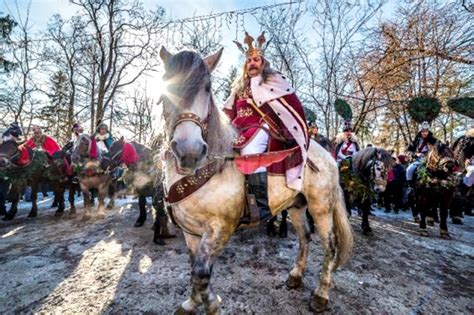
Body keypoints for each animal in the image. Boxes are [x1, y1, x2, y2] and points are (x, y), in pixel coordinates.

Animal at [158, 47, 352, 315]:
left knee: (330, 246)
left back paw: (321, 295)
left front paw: (212, 304)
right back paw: (295, 275)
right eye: (168, 84)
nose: (190, 151)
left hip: (321, 208)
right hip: (296, 206)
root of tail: (327, 155)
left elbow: (201, 274)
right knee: (304, 237)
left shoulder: (220, 230)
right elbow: (194, 268)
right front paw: (192, 302)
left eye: (207, 87)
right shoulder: (191, 232)